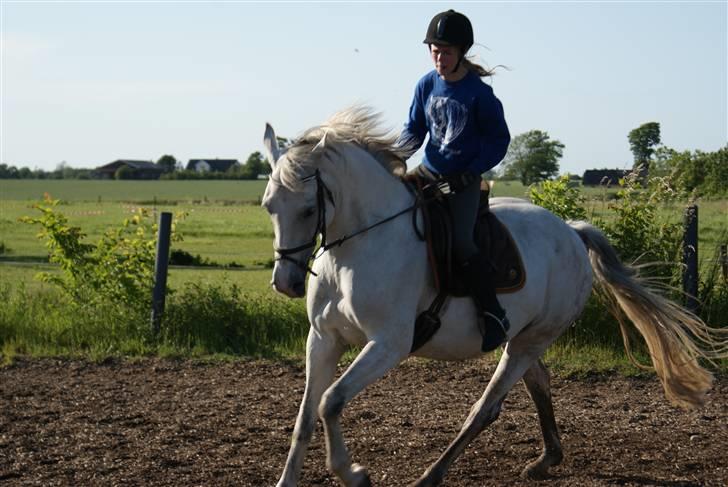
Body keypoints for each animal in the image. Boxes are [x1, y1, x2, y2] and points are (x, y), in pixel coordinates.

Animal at [260, 107, 724, 487]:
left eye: (307, 209)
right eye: (269, 206)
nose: (286, 281)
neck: (358, 246)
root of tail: (572, 232)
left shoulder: (388, 345)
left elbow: (331, 401)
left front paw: (354, 473)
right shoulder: (323, 339)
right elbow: (306, 416)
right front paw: (288, 480)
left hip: (530, 340)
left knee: (486, 408)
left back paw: (432, 475)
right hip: (521, 336)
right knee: (539, 382)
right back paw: (546, 460)